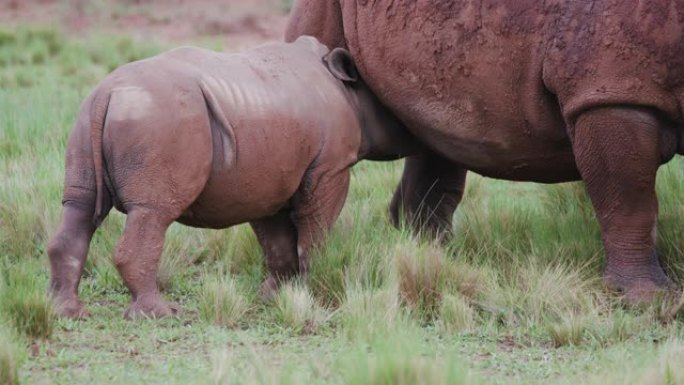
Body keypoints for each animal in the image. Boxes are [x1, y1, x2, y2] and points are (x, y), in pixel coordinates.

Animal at [48, 36, 416, 318]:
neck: (349, 91)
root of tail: (106, 94)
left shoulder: (268, 176)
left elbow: (276, 242)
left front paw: (275, 297)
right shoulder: (330, 169)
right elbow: (316, 231)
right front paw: (315, 284)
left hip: (88, 118)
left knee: (79, 208)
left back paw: (68, 312)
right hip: (159, 118)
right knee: (153, 212)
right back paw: (159, 314)